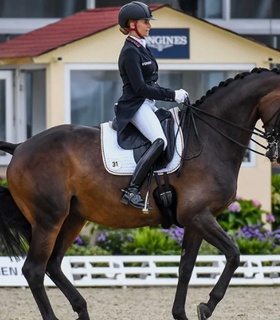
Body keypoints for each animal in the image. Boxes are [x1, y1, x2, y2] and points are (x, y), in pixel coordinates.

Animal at [0, 66, 280, 318]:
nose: (275, 154)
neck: (210, 139)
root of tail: (20, 146)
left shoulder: (196, 220)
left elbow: (186, 268)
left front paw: (181, 314)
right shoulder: (199, 216)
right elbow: (233, 255)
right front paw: (207, 306)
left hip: (72, 218)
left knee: (54, 264)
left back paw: (82, 309)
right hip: (49, 220)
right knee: (34, 269)